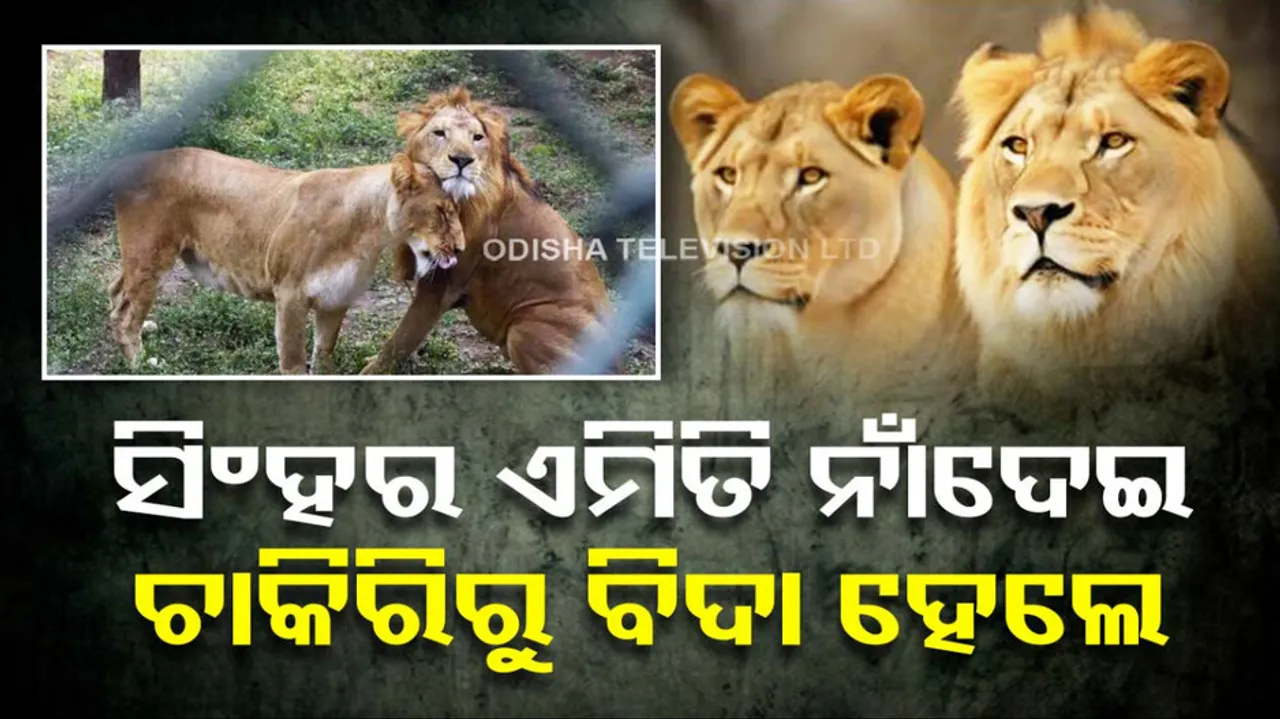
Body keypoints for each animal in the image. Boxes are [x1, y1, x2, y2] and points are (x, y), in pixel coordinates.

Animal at [47, 148, 465, 375]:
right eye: (442, 212)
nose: (461, 248)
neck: (369, 230)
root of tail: (129, 159)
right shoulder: (290, 294)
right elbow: (294, 360)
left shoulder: (335, 300)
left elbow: (325, 353)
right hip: (150, 256)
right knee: (125, 312)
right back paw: (141, 363)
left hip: (139, 258)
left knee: (116, 291)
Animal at [359, 86, 614, 375]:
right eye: (440, 133)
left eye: (477, 137)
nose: (462, 160)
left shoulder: (440, 286)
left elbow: (401, 338)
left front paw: (368, 372)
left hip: (523, 330)